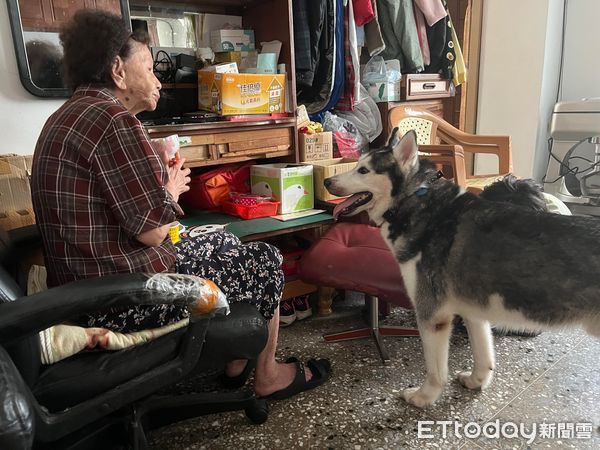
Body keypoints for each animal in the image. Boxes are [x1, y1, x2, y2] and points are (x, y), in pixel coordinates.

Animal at [326, 128, 600, 406]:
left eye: (363, 170)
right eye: (356, 165)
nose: (327, 181)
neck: (417, 199)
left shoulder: (432, 314)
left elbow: (435, 371)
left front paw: (423, 397)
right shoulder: (473, 311)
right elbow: (483, 354)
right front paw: (476, 381)